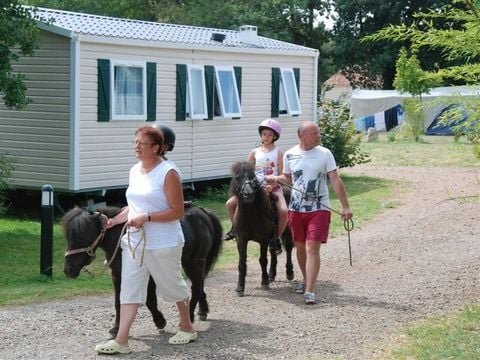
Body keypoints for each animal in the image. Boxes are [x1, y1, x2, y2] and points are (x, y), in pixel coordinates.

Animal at [61, 204, 223, 336]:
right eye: (68, 237)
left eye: (82, 236)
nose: (68, 270)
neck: (122, 242)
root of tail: (203, 212)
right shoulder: (118, 275)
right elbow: (119, 301)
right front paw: (116, 328)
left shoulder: (148, 275)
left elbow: (150, 300)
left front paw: (160, 321)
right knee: (200, 285)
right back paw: (202, 311)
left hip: (195, 262)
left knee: (195, 287)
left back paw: (189, 318)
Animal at [229, 162, 292, 296]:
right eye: (237, 177)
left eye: (253, 177)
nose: (248, 194)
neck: (250, 216)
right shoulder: (241, 239)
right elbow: (242, 262)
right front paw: (240, 287)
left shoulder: (263, 240)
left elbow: (263, 260)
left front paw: (264, 282)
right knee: (273, 251)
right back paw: (271, 274)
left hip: (287, 230)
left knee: (288, 248)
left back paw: (289, 272)